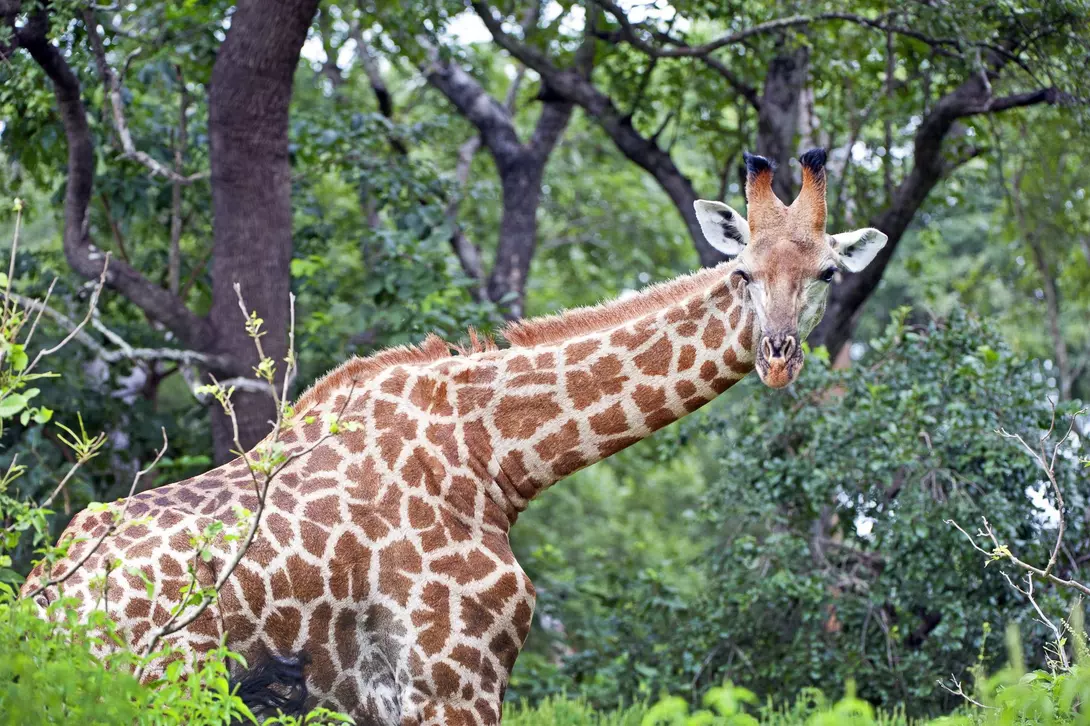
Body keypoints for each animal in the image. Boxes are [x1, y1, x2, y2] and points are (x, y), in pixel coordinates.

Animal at [22, 148, 887, 725]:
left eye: (826, 274)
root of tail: (43, 604)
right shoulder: (456, 678)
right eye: (742, 272)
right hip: (165, 688)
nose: (777, 356)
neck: (495, 455)